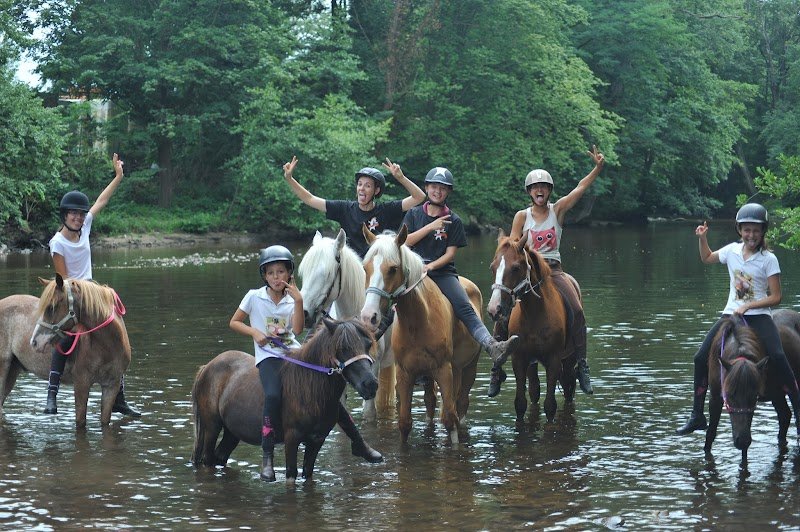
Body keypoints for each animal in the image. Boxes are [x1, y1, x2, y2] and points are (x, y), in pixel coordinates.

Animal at [0, 275, 131, 428]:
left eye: (51, 307)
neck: (107, 346)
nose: (34, 342)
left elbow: (105, 422)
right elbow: (80, 422)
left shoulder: (111, 386)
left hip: (12, 370)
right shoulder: (81, 384)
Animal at [191, 316, 378, 483]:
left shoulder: (317, 440)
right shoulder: (292, 438)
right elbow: (291, 474)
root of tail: (206, 367)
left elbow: (308, 474)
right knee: (208, 460)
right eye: (343, 347)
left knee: (220, 457)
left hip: (232, 432)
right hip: (212, 426)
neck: (309, 388)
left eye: (368, 345)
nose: (371, 384)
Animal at [360, 225, 482, 444]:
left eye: (393, 269)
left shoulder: (444, 370)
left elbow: (450, 420)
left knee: (461, 405)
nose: (368, 317)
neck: (418, 322)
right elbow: (404, 423)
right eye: (366, 268)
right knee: (431, 401)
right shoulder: (405, 373)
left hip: (468, 368)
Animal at [486, 232, 576, 422]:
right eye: (492, 267)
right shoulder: (519, 359)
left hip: (569, 359)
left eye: (515, 268)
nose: (494, 309)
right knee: (535, 390)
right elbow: (520, 403)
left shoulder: (554, 360)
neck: (535, 313)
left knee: (569, 387)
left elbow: (550, 406)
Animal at [704, 311, 800, 461]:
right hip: (777, 394)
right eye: (730, 394)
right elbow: (711, 432)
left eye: (755, 396)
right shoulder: (715, 397)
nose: (742, 441)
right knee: (785, 415)